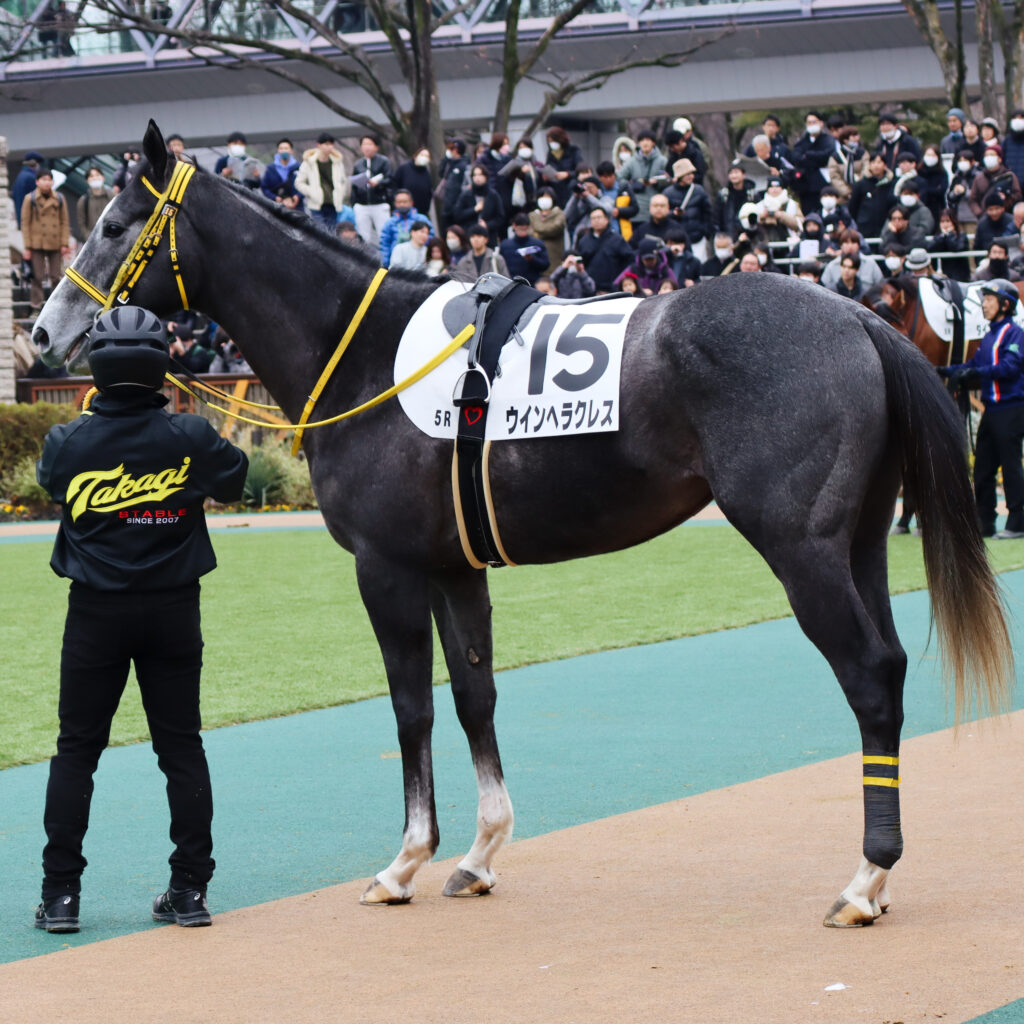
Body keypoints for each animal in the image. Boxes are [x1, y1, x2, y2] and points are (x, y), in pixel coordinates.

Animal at [33, 123, 1013, 928]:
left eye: (115, 224)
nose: (42, 335)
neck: (362, 350)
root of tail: (858, 317)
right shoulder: (453, 566)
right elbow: (474, 695)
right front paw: (477, 855)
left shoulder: (385, 567)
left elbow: (411, 706)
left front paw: (405, 863)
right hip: (857, 544)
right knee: (887, 663)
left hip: (800, 550)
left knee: (869, 678)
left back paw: (865, 879)